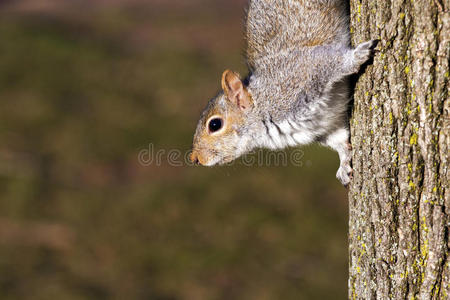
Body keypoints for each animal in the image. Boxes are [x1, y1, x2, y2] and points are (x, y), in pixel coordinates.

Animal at [189, 0, 376, 185]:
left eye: (215, 124)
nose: (195, 159)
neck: (262, 102)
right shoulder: (324, 127)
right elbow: (341, 140)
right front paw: (344, 165)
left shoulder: (302, 72)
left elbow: (333, 62)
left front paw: (357, 56)